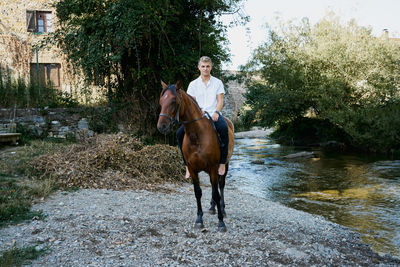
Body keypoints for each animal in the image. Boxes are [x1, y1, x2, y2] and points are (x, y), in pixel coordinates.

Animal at [157, 80, 234, 231]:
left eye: (173, 101)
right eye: (161, 101)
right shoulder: (193, 169)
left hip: (224, 165)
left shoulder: (213, 168)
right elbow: (198, 192)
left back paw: (222, 209)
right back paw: (212, 207)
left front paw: (221, 222)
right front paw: (199, 219)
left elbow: (216, 193)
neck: (197, 135)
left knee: (221, 185)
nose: (161, 126)